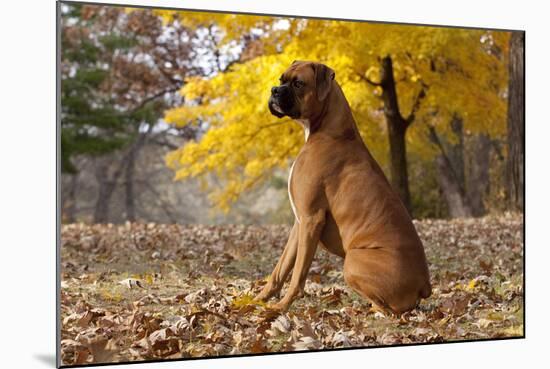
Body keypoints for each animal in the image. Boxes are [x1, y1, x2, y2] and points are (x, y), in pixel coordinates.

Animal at [256, 60, 434, 314]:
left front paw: (280, 307)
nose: (274, 90)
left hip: (353, 261)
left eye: (298, 83)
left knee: (387, 309)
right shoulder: (299, 223)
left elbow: (298, 274)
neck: (328, 129)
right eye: (281, 79)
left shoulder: (311, 219)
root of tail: (424, 284)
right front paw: (257, 300)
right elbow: (280, 269)